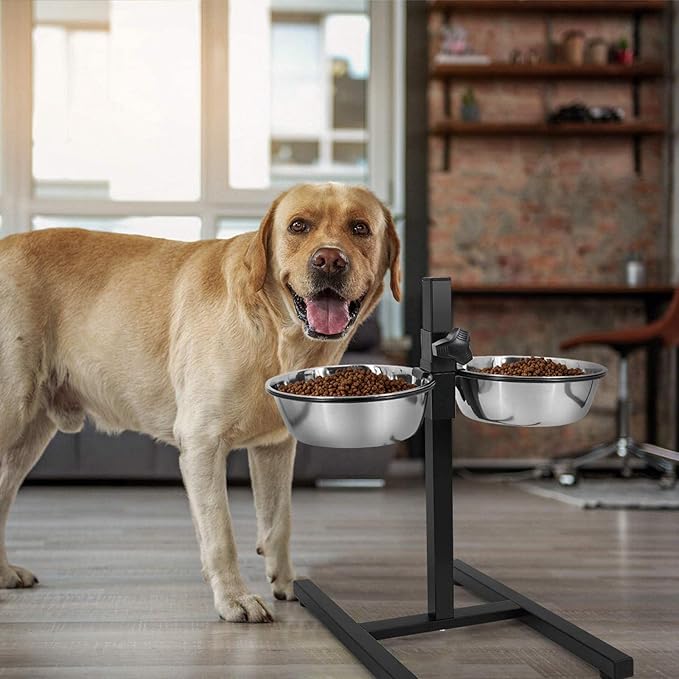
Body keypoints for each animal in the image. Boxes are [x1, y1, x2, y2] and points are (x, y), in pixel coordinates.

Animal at [0, 183, 398, 624]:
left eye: (360, 228)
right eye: (298, 226)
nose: (329, 260)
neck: (276, 333)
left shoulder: (275, 447)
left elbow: (279, 522)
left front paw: (288, 583)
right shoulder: (202, 444)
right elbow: (220, 533)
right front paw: (235, 599)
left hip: (28, 436)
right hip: (10, 409)